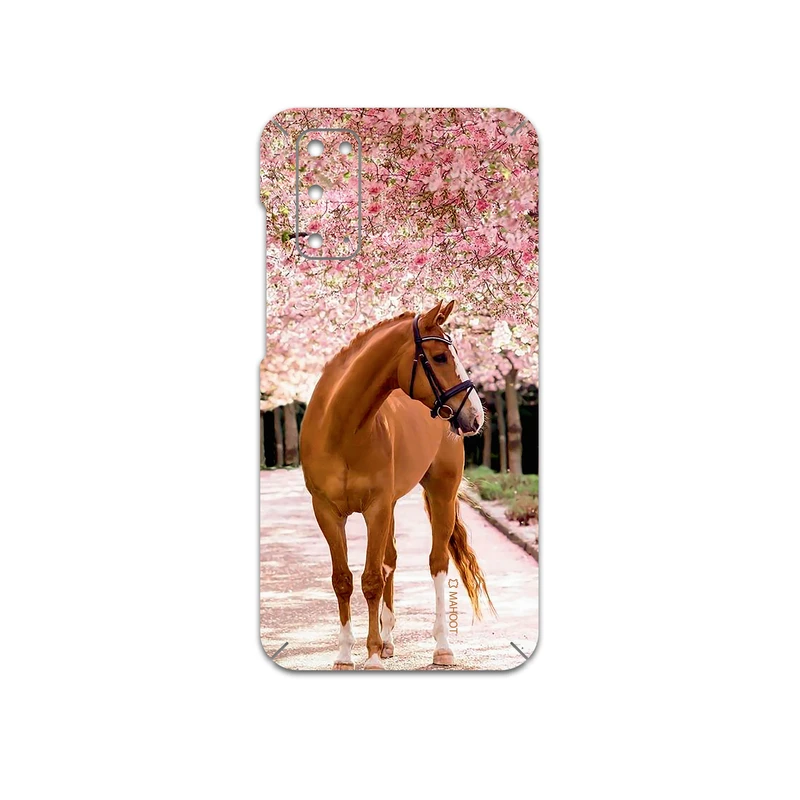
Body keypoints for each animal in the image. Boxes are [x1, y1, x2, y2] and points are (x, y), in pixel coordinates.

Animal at [299, 300, 494, 670]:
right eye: (440, 357)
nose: (475, 416)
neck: (342, 430)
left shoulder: (375, 508)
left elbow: (371, 579)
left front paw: (372, 655)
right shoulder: (327, 512)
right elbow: (343, 580)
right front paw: (345, 654)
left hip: (441, 494)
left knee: (437, 563)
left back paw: (441, 647)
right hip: (390, 506)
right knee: (390, 560)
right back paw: (389, 641)